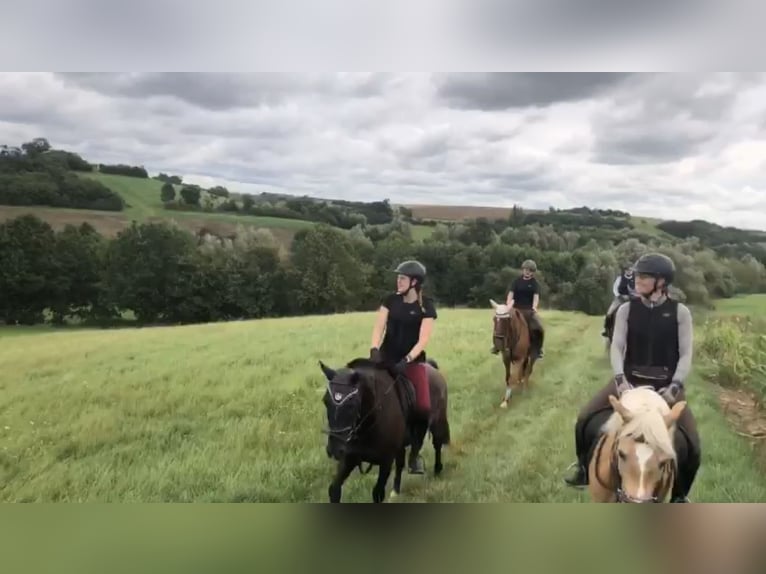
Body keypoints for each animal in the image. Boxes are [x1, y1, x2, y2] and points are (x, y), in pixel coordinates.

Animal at [318, 358, 450, 506]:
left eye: (352, 404)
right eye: (325, 401)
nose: (334, 449)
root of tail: (432, 367)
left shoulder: (386, 461)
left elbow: (377, 493)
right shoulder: (349, 457)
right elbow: (334, 489)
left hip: (437, 422)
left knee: (437, 445)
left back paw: (437, 471)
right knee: (400, 462)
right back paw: (395, 491)